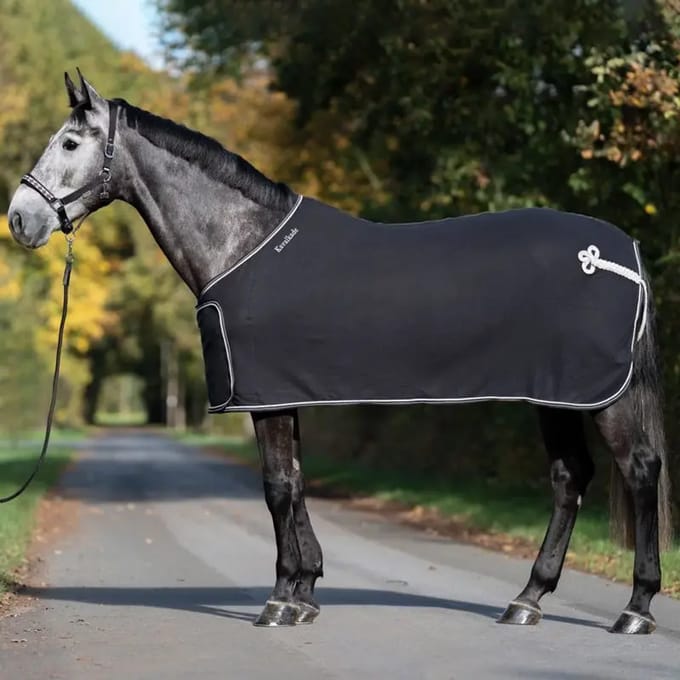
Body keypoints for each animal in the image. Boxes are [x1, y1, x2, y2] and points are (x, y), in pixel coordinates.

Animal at [7, 72, 672, 633]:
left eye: (69, 142)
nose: (20, 220)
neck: (241, 241)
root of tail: (620, 252)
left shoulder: (266, 398)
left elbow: (277, 486)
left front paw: (280, 600)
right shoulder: (283, 392)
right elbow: (297, 482)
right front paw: (305, 591)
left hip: (597, 396)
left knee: (640, 470)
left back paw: (636, 609)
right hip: (555, 395)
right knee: (570, 477)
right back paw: (528, 599)